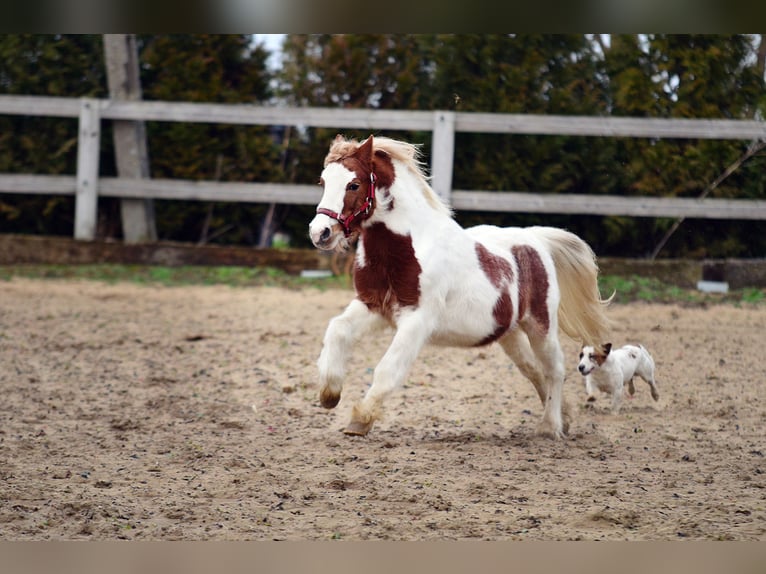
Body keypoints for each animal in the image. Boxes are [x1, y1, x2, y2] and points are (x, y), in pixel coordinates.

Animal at [308, 135, 616, 440]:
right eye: (323, 181)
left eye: (353, 184)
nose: (319, 233)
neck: (406, 249)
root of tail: (535, 239)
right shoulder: (372, 306)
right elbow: (337, 330)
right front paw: (329, 395)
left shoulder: (417, 319)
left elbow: (388, 369)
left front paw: (360, 419)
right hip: (510, 334)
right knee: (533, 370)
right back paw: (564, 418)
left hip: (541, 326)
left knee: (555, 369)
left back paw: (550, 427)